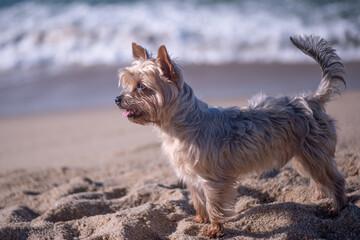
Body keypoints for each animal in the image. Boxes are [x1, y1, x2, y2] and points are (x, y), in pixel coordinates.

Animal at [114, 35, 346, 238]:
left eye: (141, 86)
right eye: (127, 84)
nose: (117, 99)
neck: (184, 125)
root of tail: (312, 99)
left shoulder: (213, 179)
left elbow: (213, 205)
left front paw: (214, 229)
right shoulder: (191, 176)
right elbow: (198, 201)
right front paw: (199, 220)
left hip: (313, 154)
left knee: (335, 180)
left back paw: (337, 209)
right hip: (302, 156)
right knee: (317, 179)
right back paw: (317, 199)